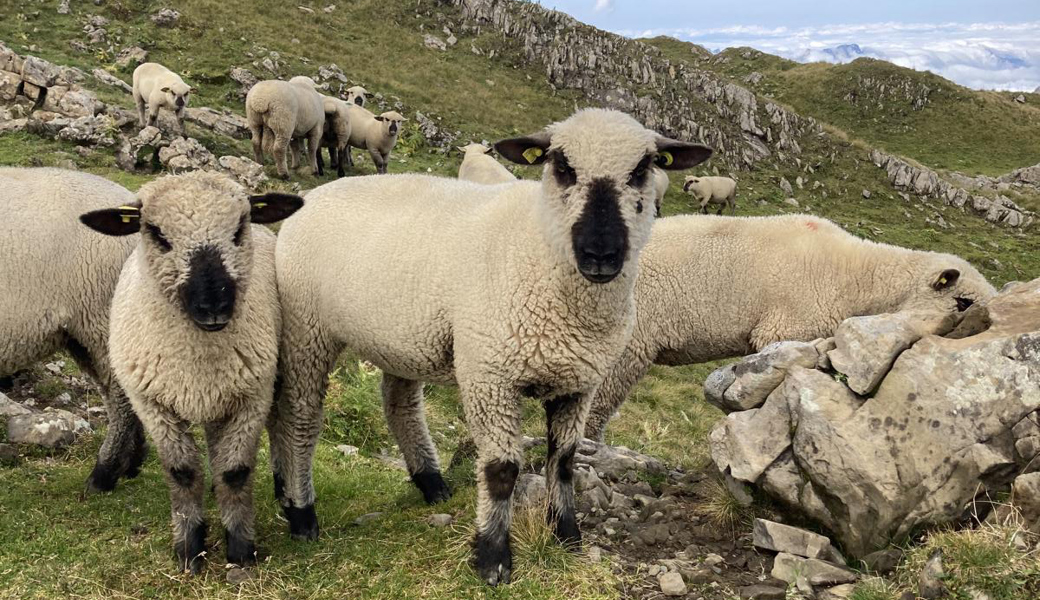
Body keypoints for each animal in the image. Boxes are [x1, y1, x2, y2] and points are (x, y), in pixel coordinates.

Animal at [79, 171, 303, 573]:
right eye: (156, 233)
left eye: (239, 228)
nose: (214, 305)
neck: (195, 361)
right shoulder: (152, 404)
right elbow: (181, 472)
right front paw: (189, 548)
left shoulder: (251, 397)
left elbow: (235, 472)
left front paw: (240, 552)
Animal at [268, 108, 712, 585]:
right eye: (562, 166)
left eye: (643, 169)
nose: (600, 254)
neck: (539, 249)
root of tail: (312, 196)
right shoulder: (489, 375)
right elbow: (501, 470)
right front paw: (493, 556)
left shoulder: (580, 382)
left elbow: (564, 460)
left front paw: (567, 536)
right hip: (307, 330)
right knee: (299, 417)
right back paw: (301, 512)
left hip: (403, 337)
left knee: (399, 404)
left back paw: (431, 484)